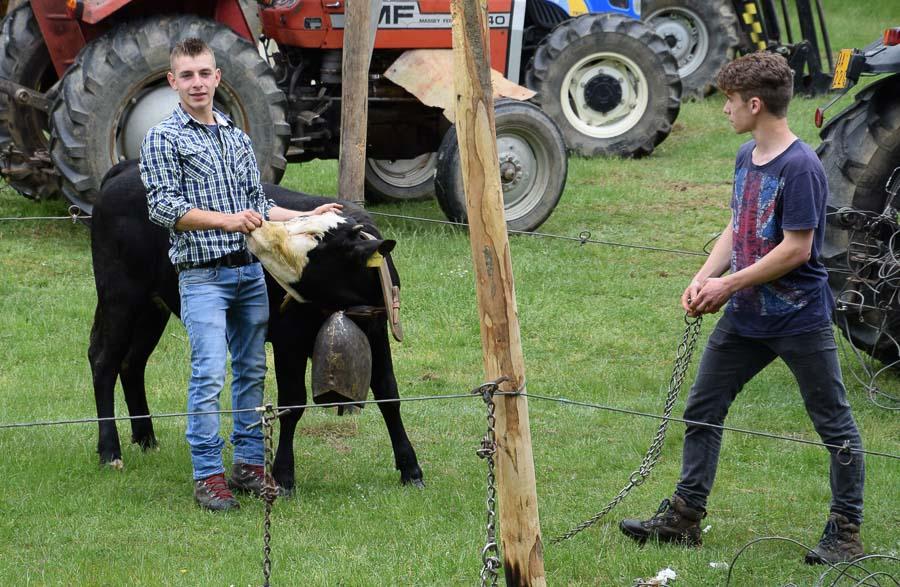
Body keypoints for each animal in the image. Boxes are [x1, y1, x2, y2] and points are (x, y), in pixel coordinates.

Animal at [86, 160, 424, 492]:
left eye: (312, 241)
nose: (255, 224)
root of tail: (127, 168)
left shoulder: (377, 331)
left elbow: (389, 394)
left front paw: (410, 468)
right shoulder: (289, 340)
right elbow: (292, 404)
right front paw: (283, 476)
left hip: (152, 308)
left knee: (132, 363)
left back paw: (146, 437)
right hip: (120, 297)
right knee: (103, 360)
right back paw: (110, 451)